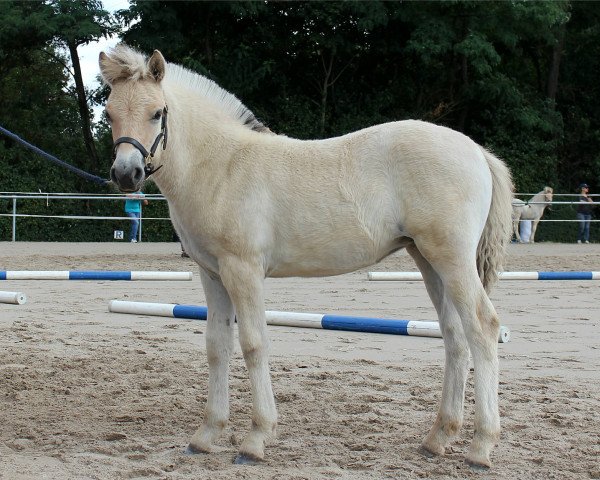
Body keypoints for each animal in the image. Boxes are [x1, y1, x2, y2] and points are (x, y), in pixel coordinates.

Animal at [98, 45, 510, 468]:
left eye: (157, 112)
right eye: (109, 113)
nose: (127, 174)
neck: (223, 166)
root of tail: (477, 152)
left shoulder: (243, 270)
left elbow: (253, 344)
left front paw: (256, 439)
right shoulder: (212, 274)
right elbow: (217, 346)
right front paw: (206, 434)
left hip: (452, 260)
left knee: (483, 328)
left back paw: (481, 446)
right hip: (429, 262)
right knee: (454, 336)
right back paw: (438, 438)